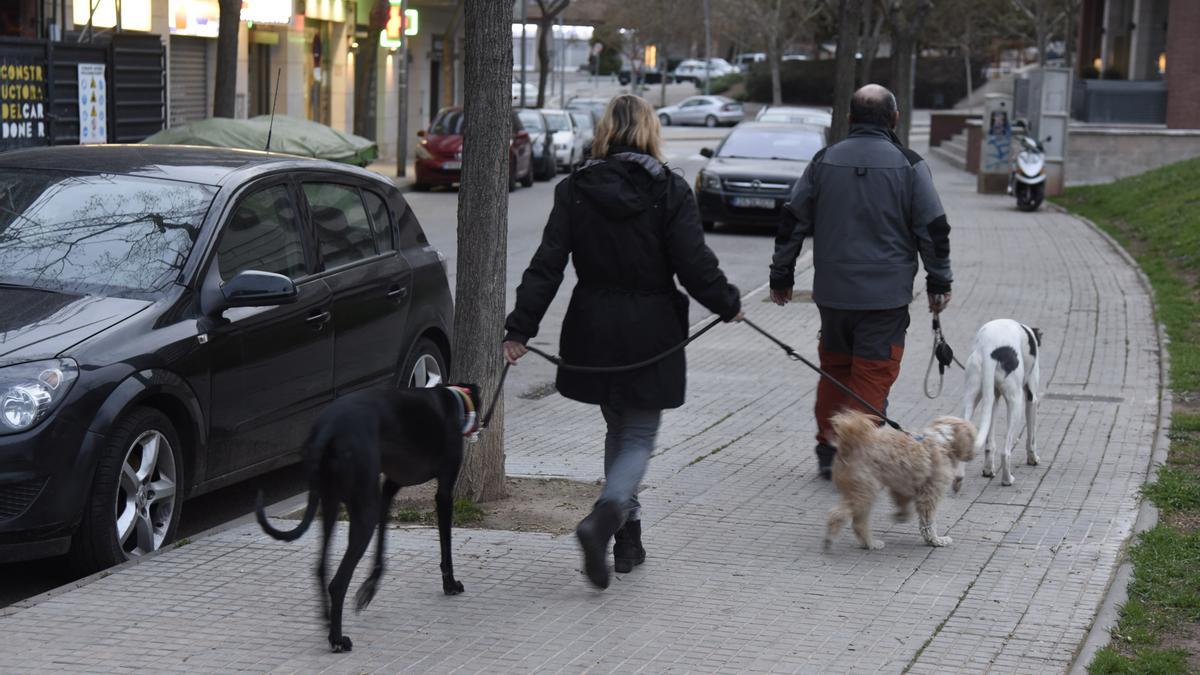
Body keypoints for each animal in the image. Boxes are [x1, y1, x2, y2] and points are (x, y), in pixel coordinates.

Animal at [255, 381, 480, 648]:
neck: (454, 399)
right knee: (338, 583)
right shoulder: (444, 491)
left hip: (332, 502)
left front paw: (370, 587)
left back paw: (327, 618)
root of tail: (328, 428)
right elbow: (446, 545)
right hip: (363, 511)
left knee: (320, 566)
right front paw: (450, 584)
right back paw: (337, 639)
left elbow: (382, 543)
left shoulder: (388, 490)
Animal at [825, 408, 974, 550]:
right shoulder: (929, 495)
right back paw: (830, 539)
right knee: (838, 515)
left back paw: (870, 544)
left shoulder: (901, 486)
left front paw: (900, 516)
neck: (943, 441)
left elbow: (903, 504)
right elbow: (928, 524)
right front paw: (935, 541)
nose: (972, 455)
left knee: (858, 523)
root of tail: (850, 444)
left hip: (862, 492)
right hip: (864, 491)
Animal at [955, 319, 1041, 482]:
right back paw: (1007, 479)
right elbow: (1032, 437)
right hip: (1015, 404)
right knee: (1005, 452)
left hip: (970, 398)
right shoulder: (1031, 398)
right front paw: (1033, 458)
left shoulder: (993, 400)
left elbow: (989, 443)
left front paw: (988, 469)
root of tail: (990, 350)